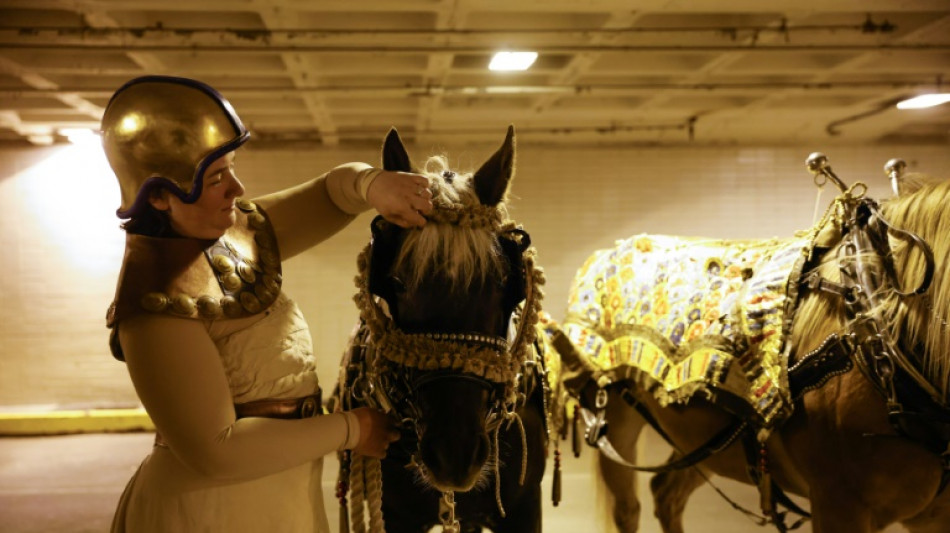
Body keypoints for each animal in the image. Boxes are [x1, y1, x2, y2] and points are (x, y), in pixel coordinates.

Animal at [556, 155, 950, 532]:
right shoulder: (838, 506)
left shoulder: (932, 518)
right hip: (614, 419)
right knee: (628, 508)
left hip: (704, 442)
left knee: (667, 494)